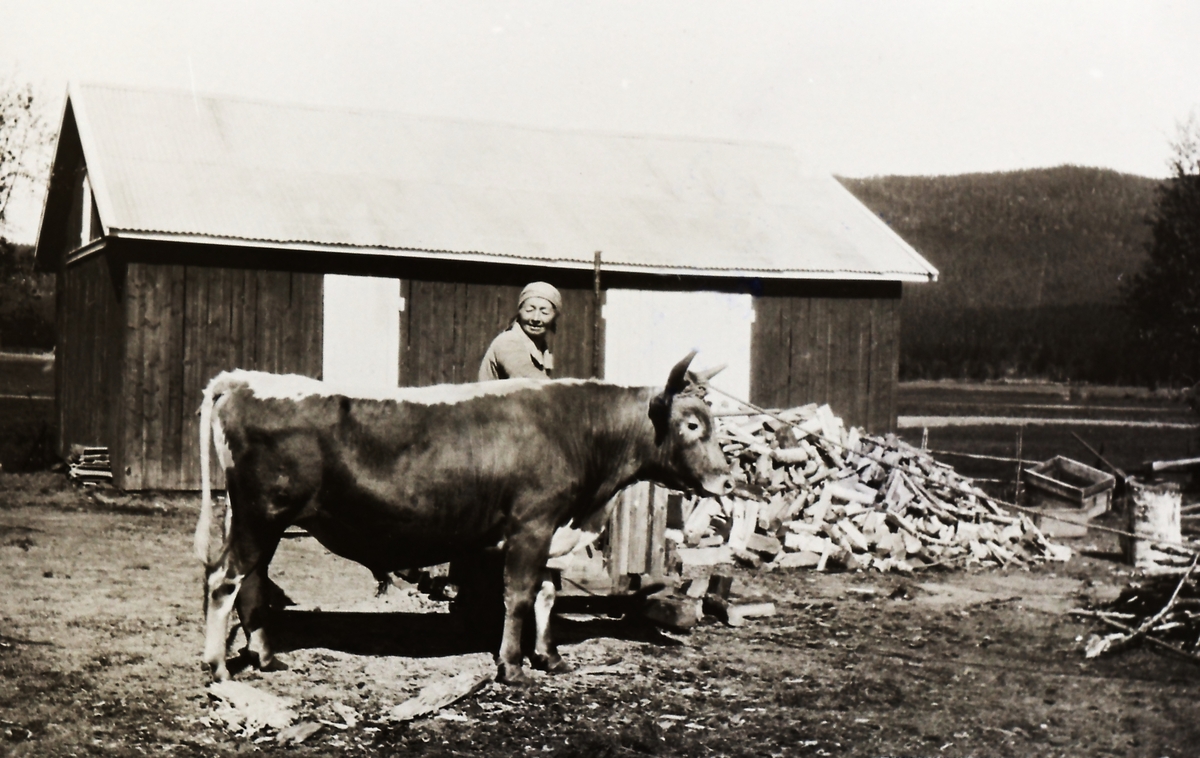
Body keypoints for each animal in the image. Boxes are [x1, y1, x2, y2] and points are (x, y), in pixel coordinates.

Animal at [194, 352, 729, 686]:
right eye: (692, 424)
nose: (726, 480)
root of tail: (242, 380)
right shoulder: (531, 525)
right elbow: (519, 596)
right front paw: (513, 668)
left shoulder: (552, 529)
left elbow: (547, 595)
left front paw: (550, 658)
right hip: (260, 516)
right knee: (224, 580)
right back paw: (219, 666)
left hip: (260, 521)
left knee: (252, 584)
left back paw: (266, 659)